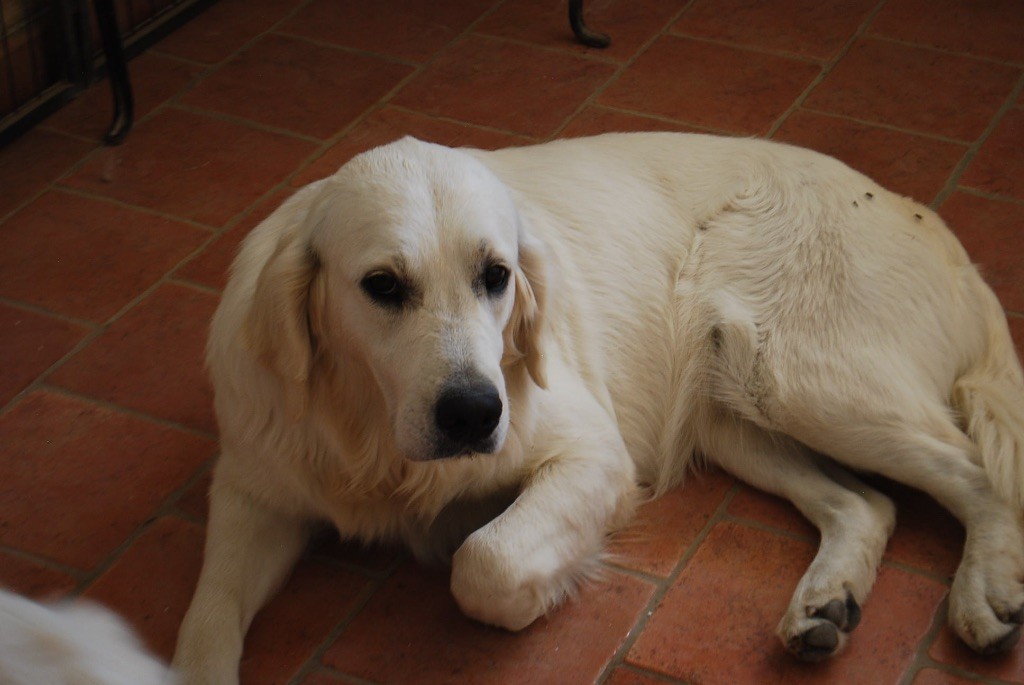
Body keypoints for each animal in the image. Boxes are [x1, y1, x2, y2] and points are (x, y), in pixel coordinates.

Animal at [172, 131, 1019, 679]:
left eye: (496, 275)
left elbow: (486, 560)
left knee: (981, 477)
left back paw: (986, 591)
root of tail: (940, 230)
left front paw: (515, 583)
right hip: (736, 410)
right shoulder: (255, 484)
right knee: (867, 504)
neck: (368, 429)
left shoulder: (591, 450)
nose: (473, 414)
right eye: (382, 285)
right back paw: (825, 604)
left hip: (797, 376)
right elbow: (205, 617)